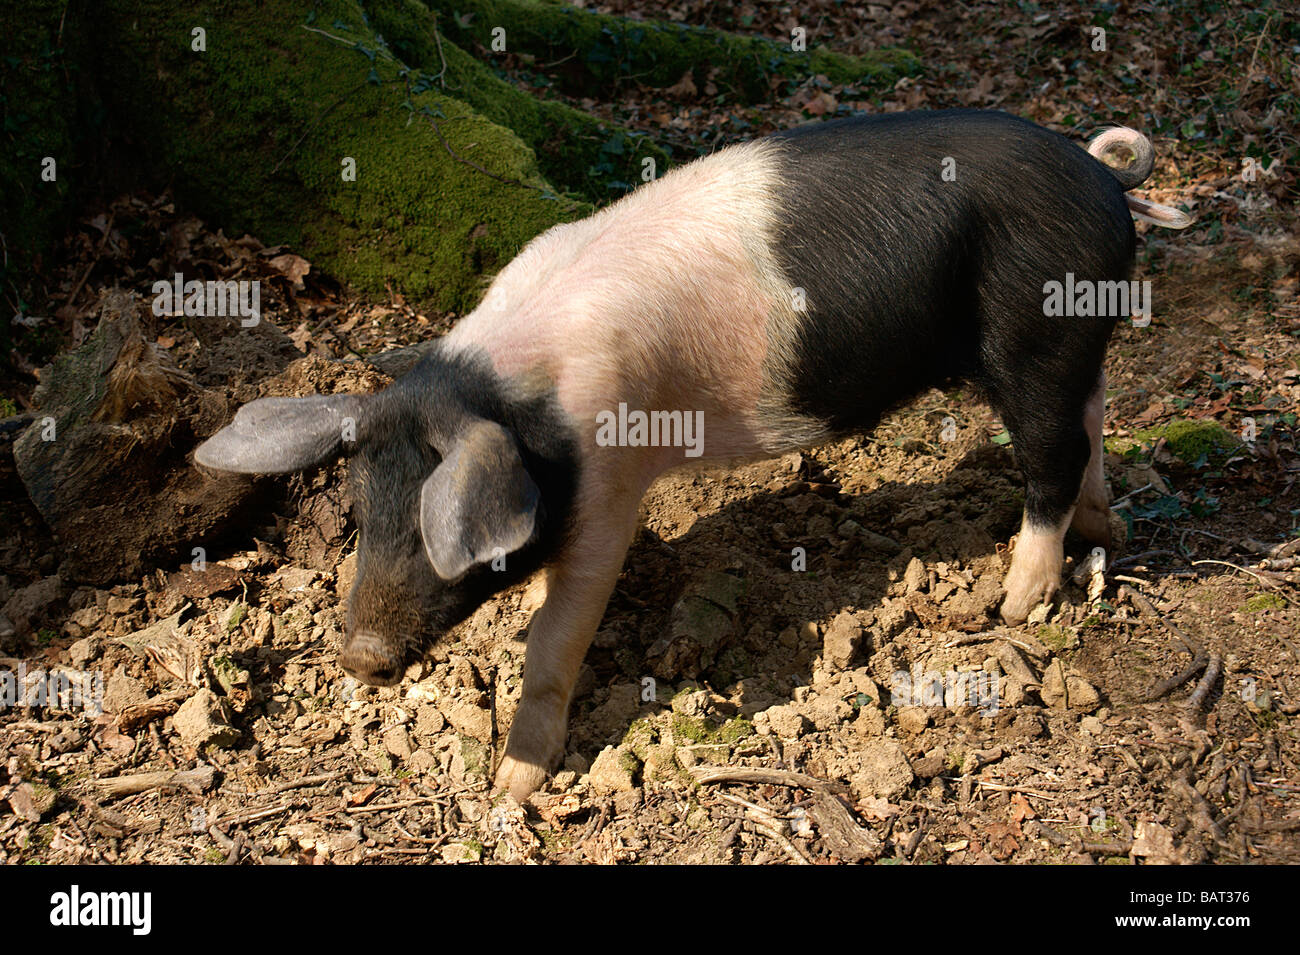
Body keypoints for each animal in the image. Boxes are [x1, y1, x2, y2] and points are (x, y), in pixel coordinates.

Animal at [192, 110, 1190, 800]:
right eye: (365, 512)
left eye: (438, 529)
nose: (359, 656)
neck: (512, 395)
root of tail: (1105, 180)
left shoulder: (609, 483)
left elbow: (558, 633)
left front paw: (510, 788)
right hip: (1076, 338)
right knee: (1095, 420)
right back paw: (1104, 532)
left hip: (1035, 335)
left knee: (1051, 454)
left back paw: (1012, 604)